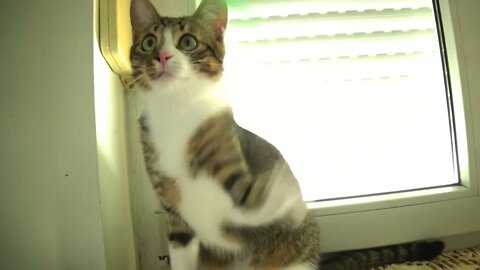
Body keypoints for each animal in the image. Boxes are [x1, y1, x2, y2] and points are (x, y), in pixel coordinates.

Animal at [126, 0, 442, 268]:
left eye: (188, 42)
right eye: (149, 42)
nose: (162, 56)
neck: (174, 110)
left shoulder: (236, 173)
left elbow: (252, 195)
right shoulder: (175, 217)